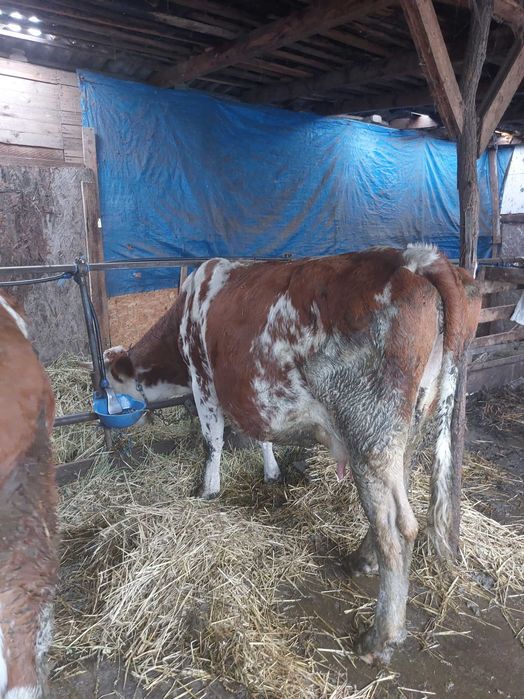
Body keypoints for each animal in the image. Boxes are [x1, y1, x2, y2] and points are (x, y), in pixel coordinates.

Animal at [104, 245, 481, 663]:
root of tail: (417, 258)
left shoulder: (204, 379)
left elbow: (212, 440)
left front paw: (207, 490)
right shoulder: (255, 393)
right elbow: (261, 436)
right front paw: (270, 472)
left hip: (370, 428)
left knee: (398, 528)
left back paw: (379, 638)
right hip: (412, 422)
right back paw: (361, 560)